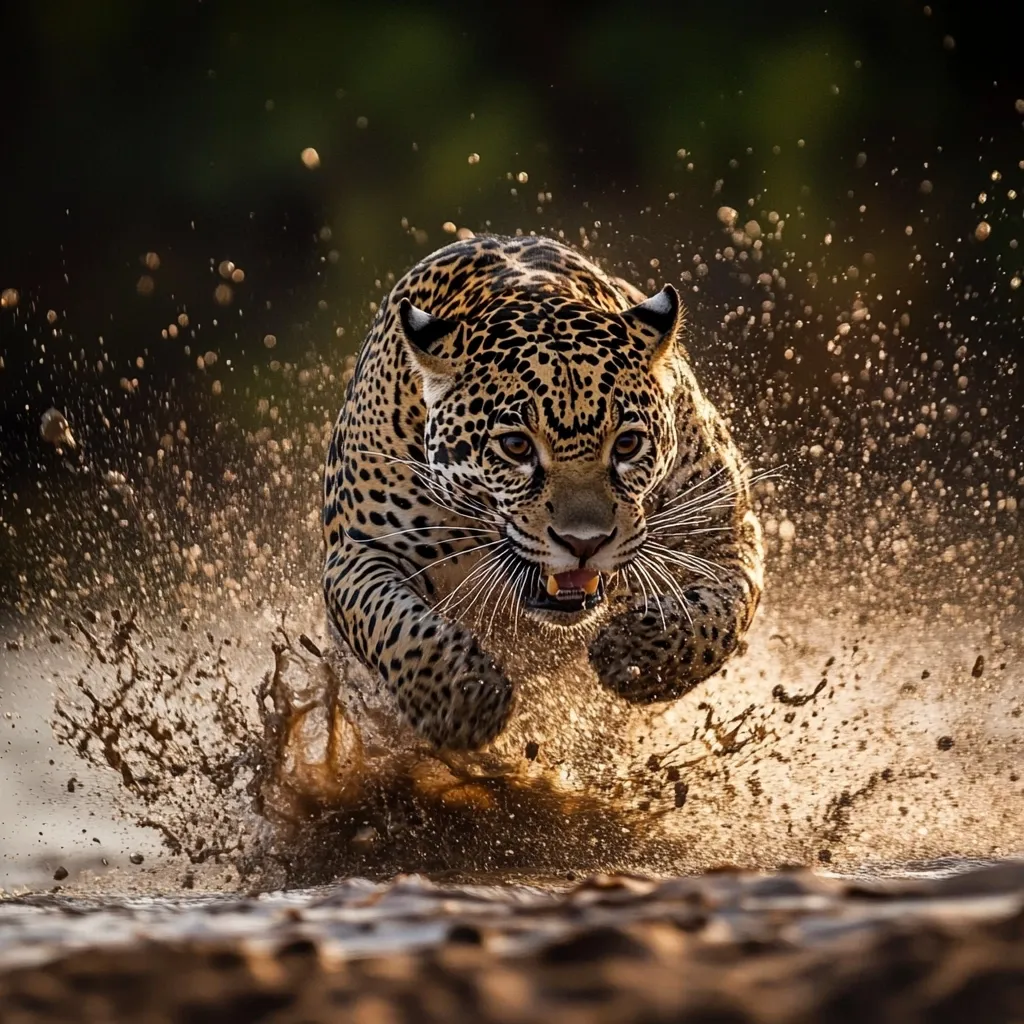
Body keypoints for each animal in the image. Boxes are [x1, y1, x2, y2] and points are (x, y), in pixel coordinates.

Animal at [322, 234, 764, 751]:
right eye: (516, 446)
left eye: (628, 444)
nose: (584, 543)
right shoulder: (358, 551)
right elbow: (396, 627)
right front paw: (462, 697)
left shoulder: (722, 528)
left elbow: (714, 616)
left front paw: (633, 655)